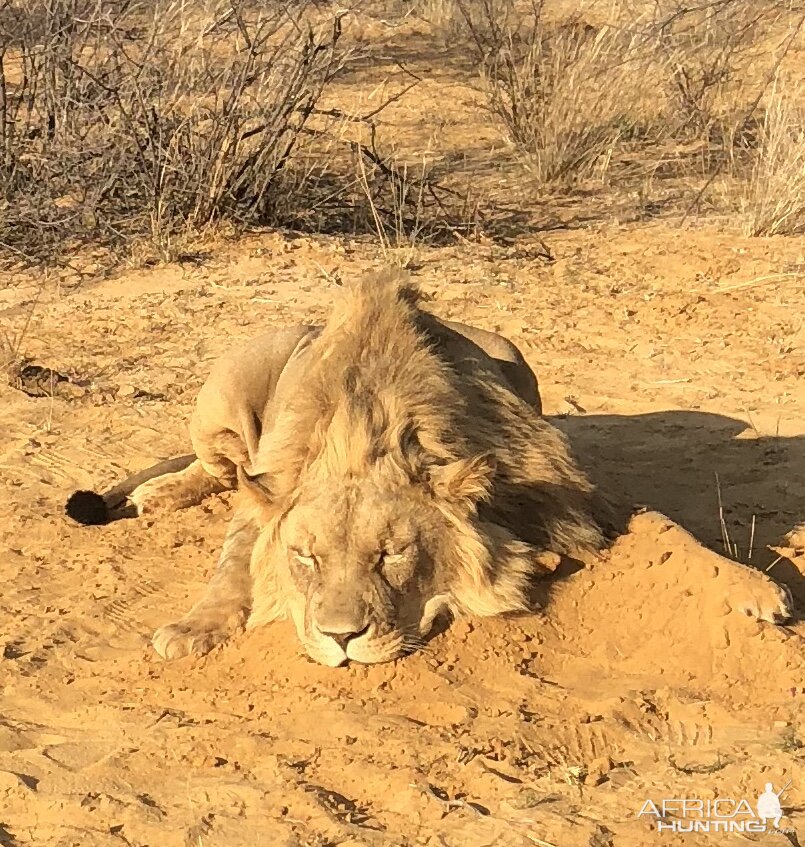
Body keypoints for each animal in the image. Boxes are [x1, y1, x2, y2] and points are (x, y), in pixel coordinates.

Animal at [72, 270, 608, 664]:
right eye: (307, 557)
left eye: (391, 554)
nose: (341, 638)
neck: (367, 422)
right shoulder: (268, 491)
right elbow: (233, 564)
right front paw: (192, 627)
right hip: (226, 387)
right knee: (217, 468)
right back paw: (156, 494)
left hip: (511, 351)